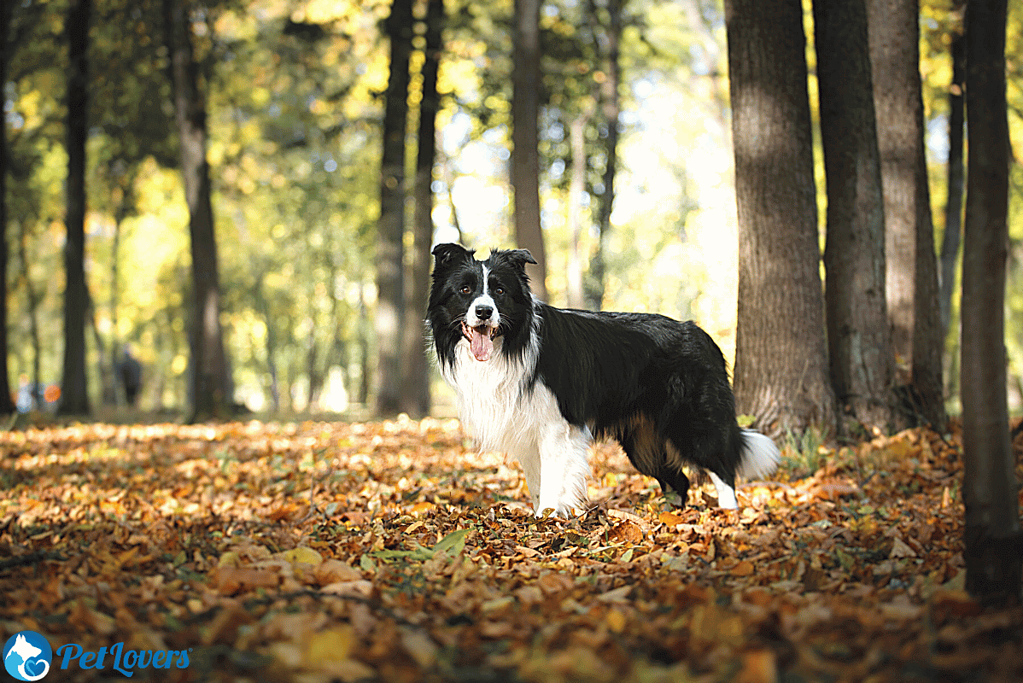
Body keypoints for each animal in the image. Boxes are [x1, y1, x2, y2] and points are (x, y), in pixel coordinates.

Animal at [427, 242, 777, 515]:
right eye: (466, 290)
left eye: (499, 291)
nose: (484, 312)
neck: (512, 343)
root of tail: (701, 333)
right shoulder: (526, 429)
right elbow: (537, 483)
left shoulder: (556, 427)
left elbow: (552, 483)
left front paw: (547, 520)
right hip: (643, 443)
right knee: (680, 481)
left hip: (692, 423)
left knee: (722, 470)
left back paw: (727, 516)